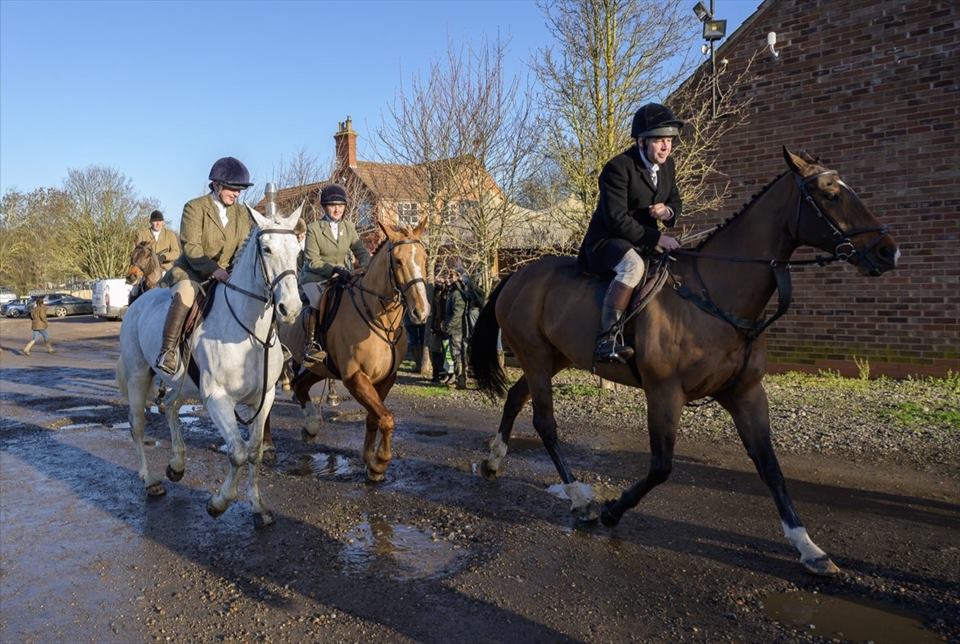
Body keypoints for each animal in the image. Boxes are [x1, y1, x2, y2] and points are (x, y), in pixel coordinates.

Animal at [116, 205, 303, 526]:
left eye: (297, 251)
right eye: (266, 249)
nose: (290, 309)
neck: (249, 333)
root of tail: (139, 301)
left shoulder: (264, 398)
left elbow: (254, 453)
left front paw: (258, 507)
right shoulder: (217, 398)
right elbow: (238, 453)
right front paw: (218, 503)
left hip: (182, 384)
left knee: (172, 409)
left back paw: (177, 464)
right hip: (139, 377)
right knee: (137, 427)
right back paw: (151, 481)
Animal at [270, 219, 430, 482]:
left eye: (424, 258)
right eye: (397, 261)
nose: (421, 312)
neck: (378, 317)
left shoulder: (385, 379)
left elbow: (375, 417)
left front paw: (369, 461)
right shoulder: (355, 378)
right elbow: (386, 418)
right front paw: (380, 462)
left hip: (319, 366)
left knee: (300, 385)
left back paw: (311, 425)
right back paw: (266, 444)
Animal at [469, 148, 899, 576]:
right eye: (831, 195)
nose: (888, 251)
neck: (717, 294)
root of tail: (516, 277)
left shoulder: (746, 394)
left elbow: (769, 466)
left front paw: (807, 546)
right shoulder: (664, 393)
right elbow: (661, 467)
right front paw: (611, 511)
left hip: (552, 359)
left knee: (515, 398)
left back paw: (493, 461)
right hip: (537, 359)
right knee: (546, 424)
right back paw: (579, 499)